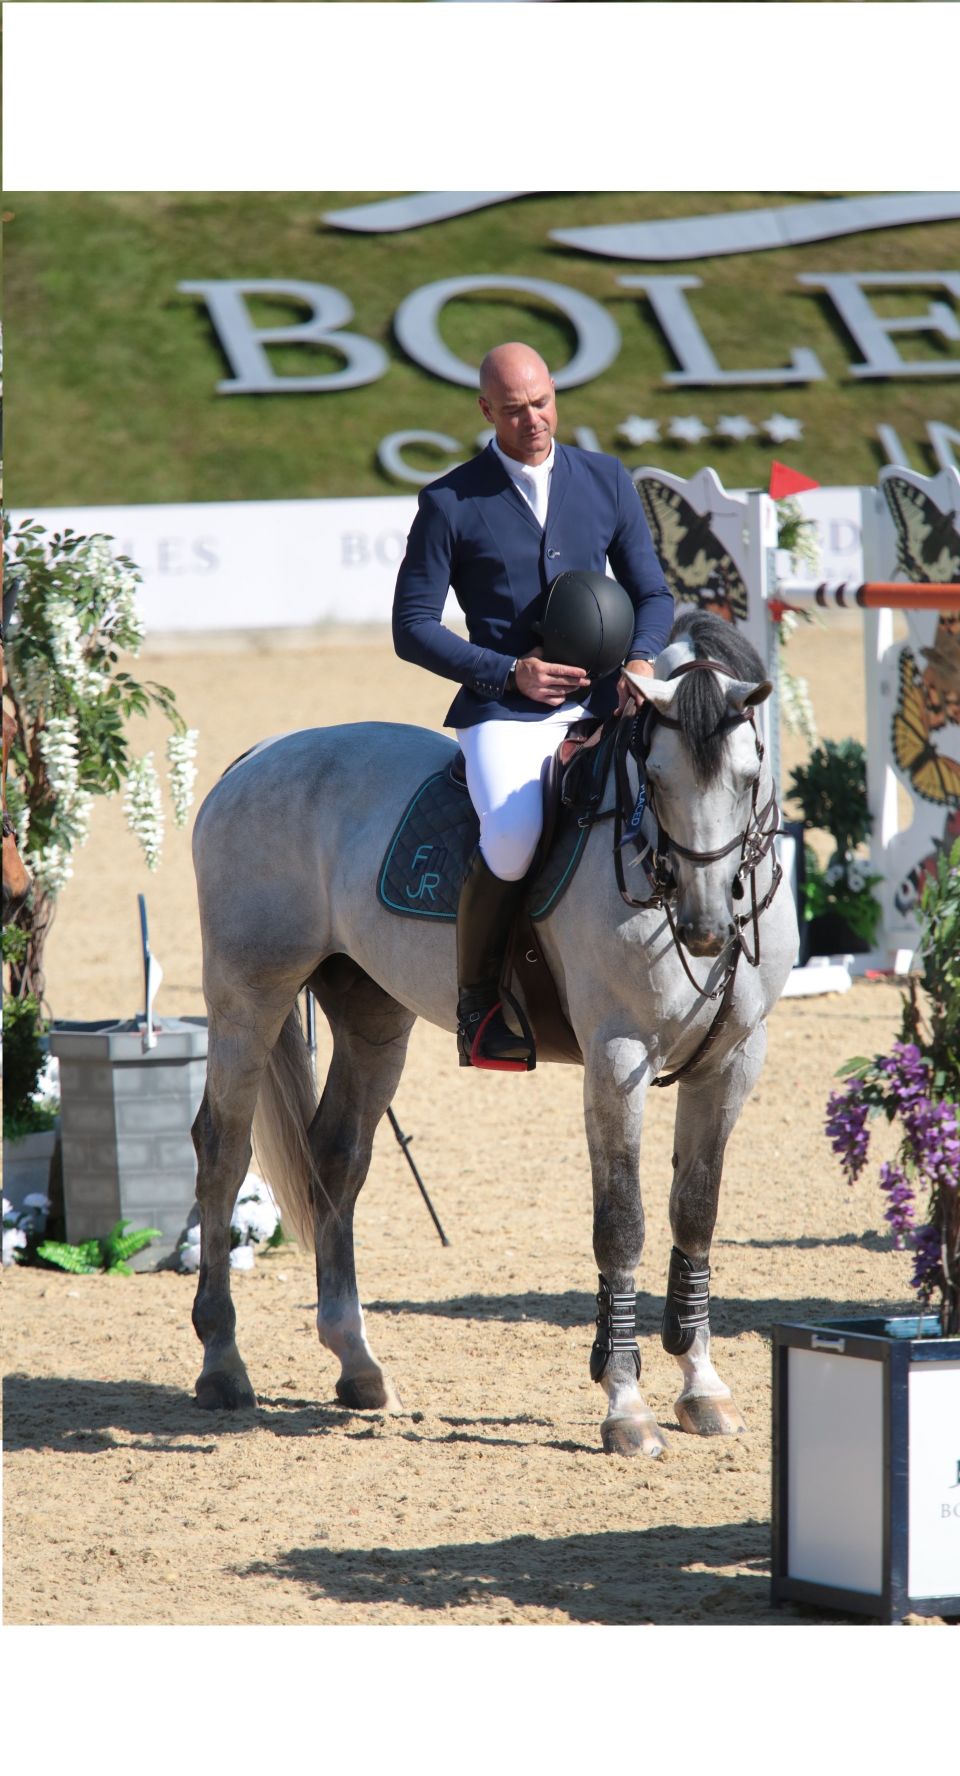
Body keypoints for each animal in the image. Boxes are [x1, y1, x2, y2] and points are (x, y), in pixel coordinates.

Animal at [190, 610, 798, 1456]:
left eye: (748, 776)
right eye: (655, 774)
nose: (706, 930)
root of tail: (257, 757)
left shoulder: (734, 1061)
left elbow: (696, 1214)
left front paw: (703, 1388)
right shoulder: (617, 1058)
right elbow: (623, 1225)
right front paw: (625, 1405)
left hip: (372, 1015)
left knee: (338, 1157)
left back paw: (360, 1368)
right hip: (250, 997)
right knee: (223, 1151)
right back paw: (222, 1364)